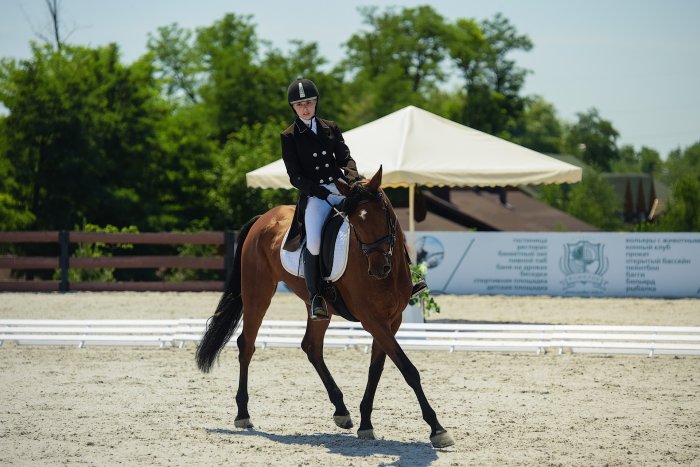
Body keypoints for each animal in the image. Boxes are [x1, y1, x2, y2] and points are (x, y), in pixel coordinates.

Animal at [195, 166, 454, 448]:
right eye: (355, 223)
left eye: (383, 213)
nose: (378, 269)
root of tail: (263, 218)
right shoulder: (372, 321)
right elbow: (408, 369)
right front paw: (437, 429)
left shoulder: (391, 321)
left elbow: (376, 370)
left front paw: (365, 423)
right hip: (258, 293)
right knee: (247, 344)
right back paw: (243, 414)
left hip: (318, 307)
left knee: (311, 346)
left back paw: (341, 411)